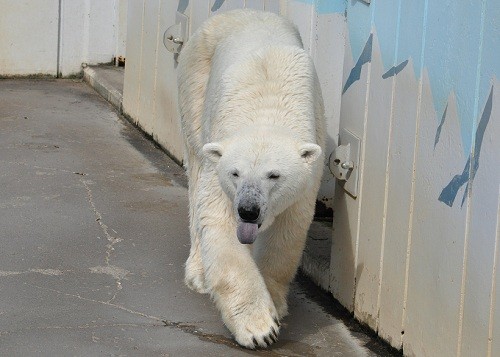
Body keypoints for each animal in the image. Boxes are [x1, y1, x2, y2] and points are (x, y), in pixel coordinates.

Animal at [178, 10, 326, 348]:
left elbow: (285, 234)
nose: (248, 210)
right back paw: (198, 274)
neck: (266, 111)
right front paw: (259, 328)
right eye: (235, 173)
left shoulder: (306, 177)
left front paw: (275, 304)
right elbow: (219, 226)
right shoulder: (220, 171)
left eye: (274, 175)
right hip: (196, 81)